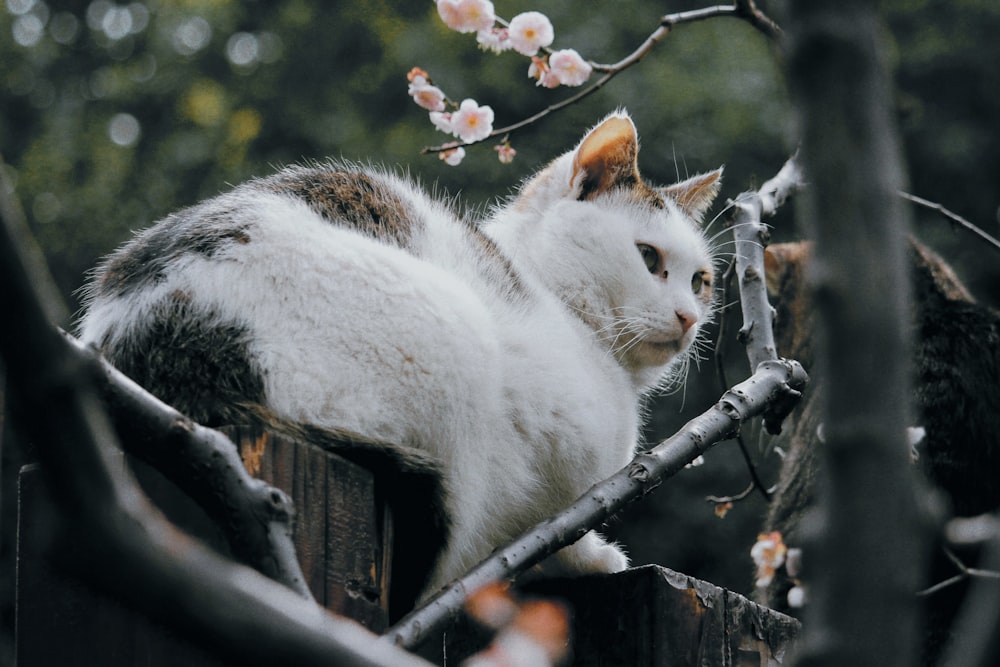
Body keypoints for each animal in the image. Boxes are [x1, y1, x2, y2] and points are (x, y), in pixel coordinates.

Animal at [78, 112, 720, 604]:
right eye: (648, 257)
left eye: (702, 281)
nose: (689, 317)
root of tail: (142, 342)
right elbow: (555, 527)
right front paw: (595, 557)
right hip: (451, 344)